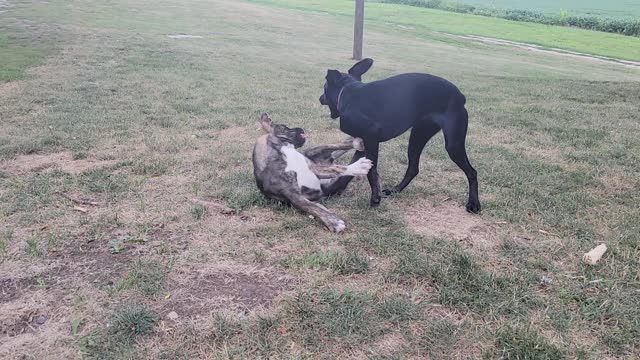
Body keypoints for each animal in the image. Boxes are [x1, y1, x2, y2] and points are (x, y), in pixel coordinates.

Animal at [320, 57, 480, 212]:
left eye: (324, 87)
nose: (320, 98)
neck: (347, 93)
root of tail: (460, 96)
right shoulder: (364, 143)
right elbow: (351, 169)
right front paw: (332, 190)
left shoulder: (371, 136)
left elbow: (371, 171)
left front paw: (375, 199)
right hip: (417, 136)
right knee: (413, 169)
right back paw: (395, 190)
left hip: (453, 145)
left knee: (472, 172)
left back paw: (474, 203)